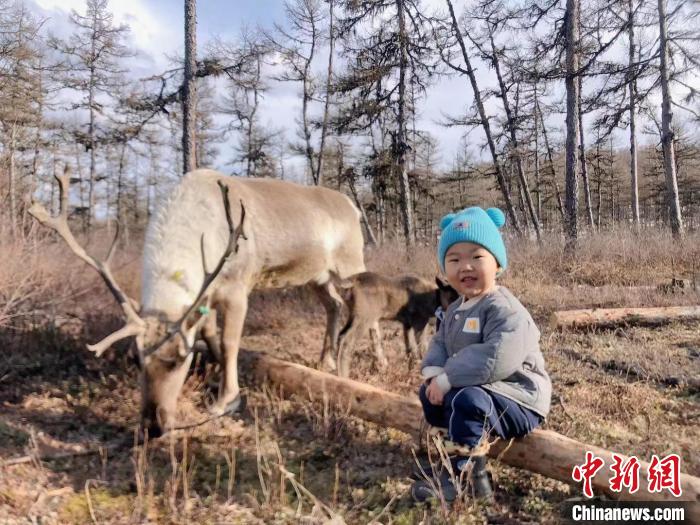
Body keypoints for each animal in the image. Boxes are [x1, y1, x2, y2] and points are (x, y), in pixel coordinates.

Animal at [332, 270, 460, 376]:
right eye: (451, 295)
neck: (434, 298)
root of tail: (351, 283)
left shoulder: (406, 324)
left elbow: (409, 348)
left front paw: (410, 369)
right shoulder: (420, 322)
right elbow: (422, 346)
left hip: (354, 316)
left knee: (341, 335)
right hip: (364, 317)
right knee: (347, 341)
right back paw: (343, 375)